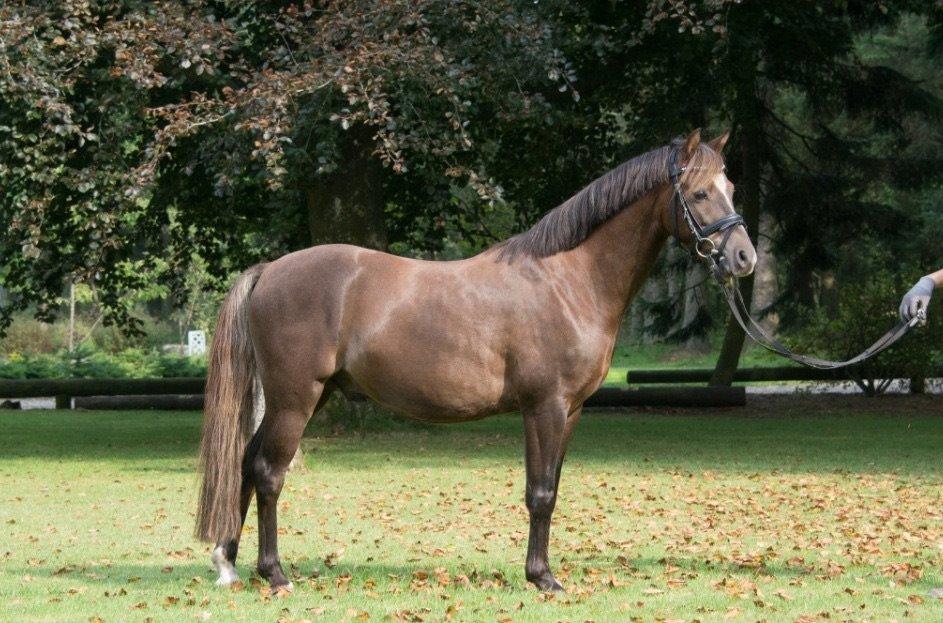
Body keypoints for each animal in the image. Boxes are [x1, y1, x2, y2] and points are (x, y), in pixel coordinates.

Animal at [195, 129, 757, 592]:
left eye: (732, 188)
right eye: (700, 193)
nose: (745, 258)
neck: (569, 279)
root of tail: (269, 271)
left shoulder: (571, 411)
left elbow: (552, 487)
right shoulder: (545, 407)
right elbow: (540, 493)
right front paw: (543, 578)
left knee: (245, 463)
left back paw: (228, 562)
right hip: (295, 399)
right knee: (268, 472)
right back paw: (275, 574)